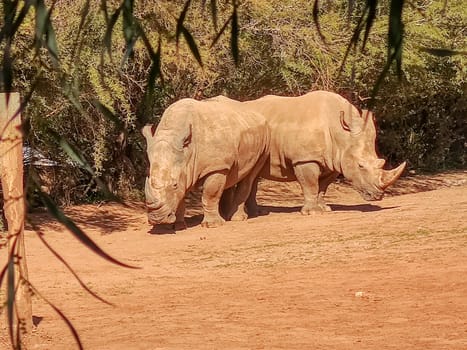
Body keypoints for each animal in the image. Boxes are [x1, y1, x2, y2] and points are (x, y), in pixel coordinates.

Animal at [143, 95, 270, 230]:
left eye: (174, 185)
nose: (157, 219)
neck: (188, 151)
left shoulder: (216, 166)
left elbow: (210, 194)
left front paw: (212, 225)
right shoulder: (185, 168)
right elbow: (181, 197)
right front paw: (178, 226)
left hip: (266, 140)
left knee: (249, 176)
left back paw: (236, 219)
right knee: (231, 175)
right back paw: (225, 216)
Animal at [243, 90, 408, 215]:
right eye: (360, 166)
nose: (378, 196)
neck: (341, 134)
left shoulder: (334, 160)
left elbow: (323, 186)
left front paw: (325, 208)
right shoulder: (305, 158)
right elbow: (311, 184)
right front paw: (313, 213)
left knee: (253, 176)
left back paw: (257, 213)